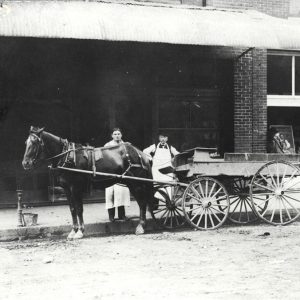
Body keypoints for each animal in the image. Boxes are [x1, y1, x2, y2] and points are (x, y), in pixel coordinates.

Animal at [21, 126, 155, 239]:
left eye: (35, 143)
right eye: (26, 143)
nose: (25, 163)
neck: (68, 157)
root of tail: (140, 153)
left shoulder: (76, 188)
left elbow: (79, 209)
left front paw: (80, 231)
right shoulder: (67, 189)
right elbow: (72, 209)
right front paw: (73, 231)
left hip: (136, 184)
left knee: (142, 203)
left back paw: (141, 226)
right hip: (132, 183)